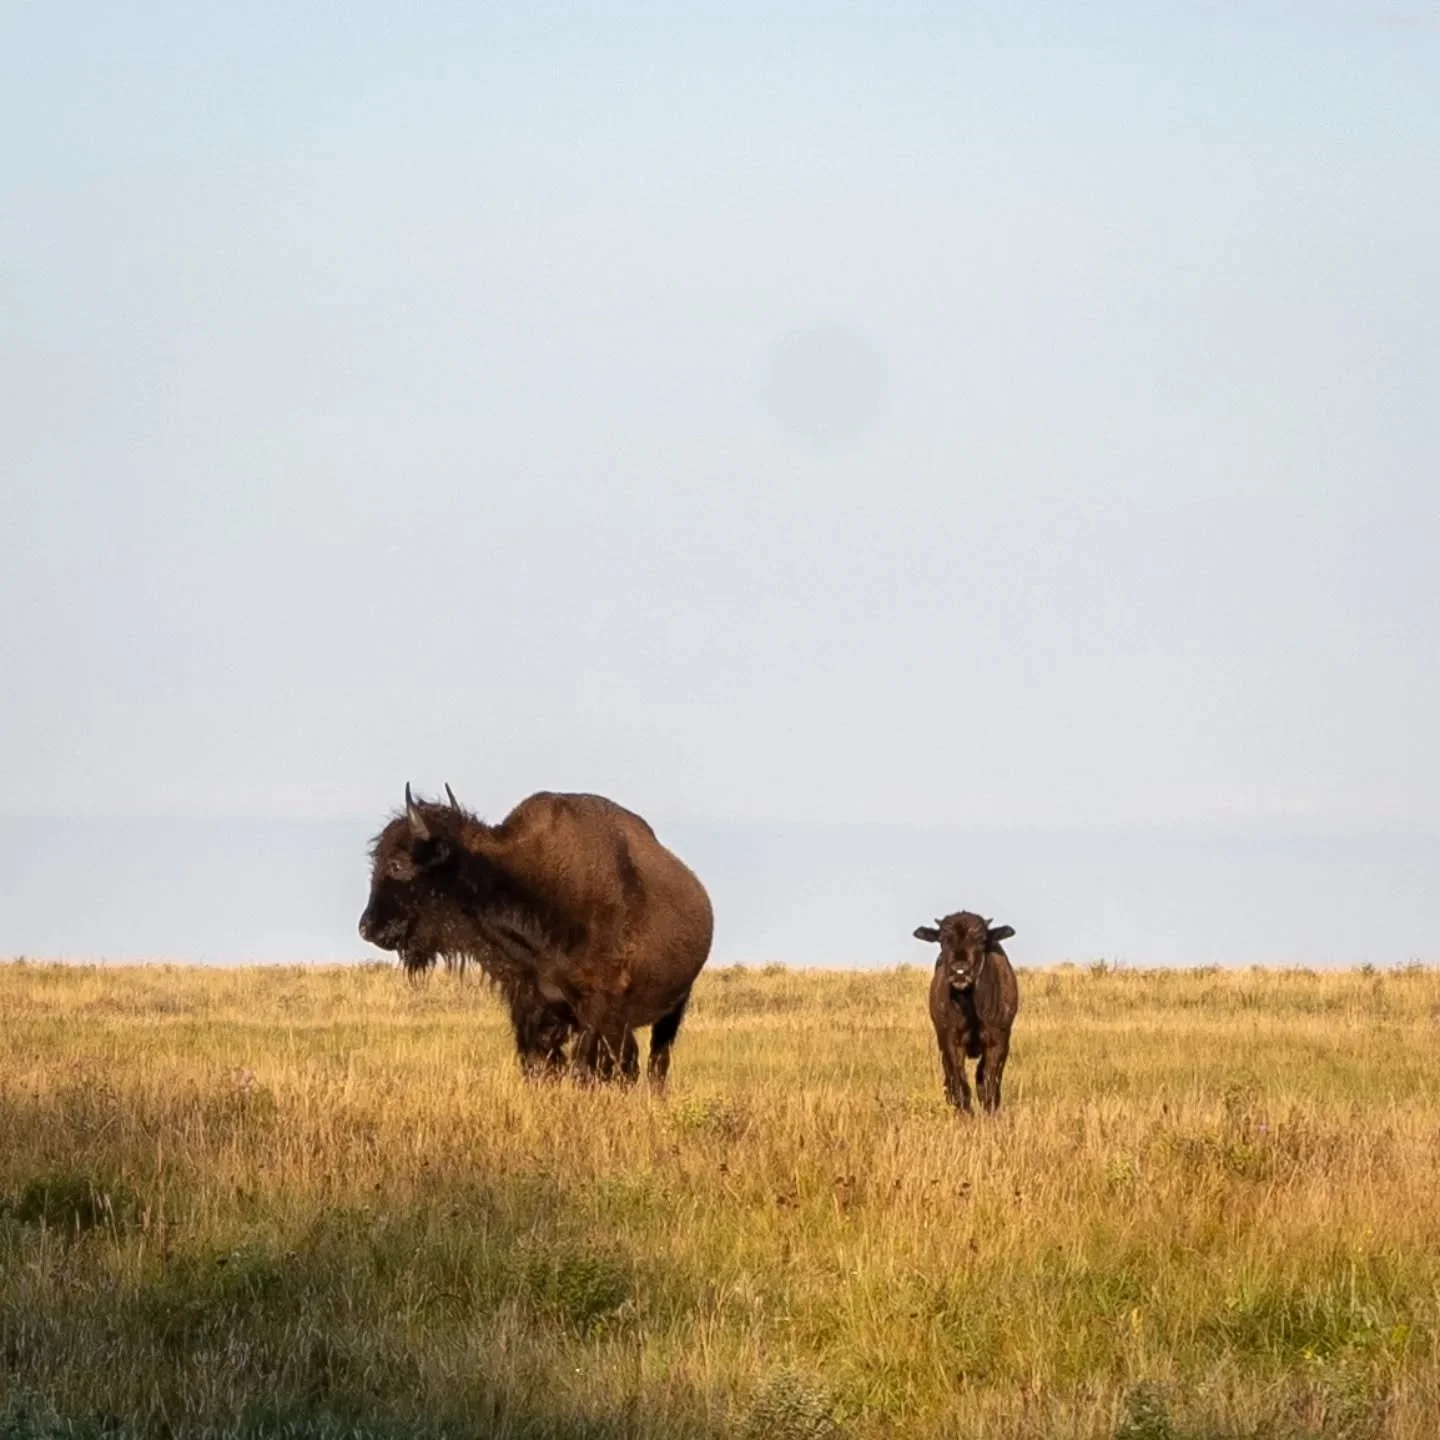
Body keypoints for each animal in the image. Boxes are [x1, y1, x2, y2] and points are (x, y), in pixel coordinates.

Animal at [359, 784, 713, 1084]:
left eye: (398, 864)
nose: (366, 927)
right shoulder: (532, 1005)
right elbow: (539, 1065)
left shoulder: (599, 1009)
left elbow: (587, 1067)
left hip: (674, 1008)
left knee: (655, 1063)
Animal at [913, 911, 1018, 1113]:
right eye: (943, 939)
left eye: (981, 939)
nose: (959, 971)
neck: (971, 1008)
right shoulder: (950, 1041)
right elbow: (960, 1083)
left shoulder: (998, 1041)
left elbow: (988, 1083)